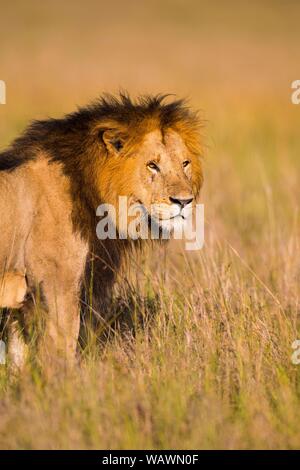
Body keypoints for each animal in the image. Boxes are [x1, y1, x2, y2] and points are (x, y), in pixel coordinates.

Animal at [0, 92, 204, 368]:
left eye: (185, 163)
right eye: (152, 165)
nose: (184, 201)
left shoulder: (17, 300)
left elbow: (18, 360)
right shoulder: (56, 285)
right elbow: (60, 354)